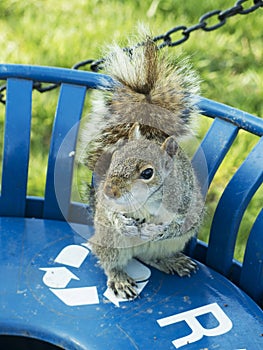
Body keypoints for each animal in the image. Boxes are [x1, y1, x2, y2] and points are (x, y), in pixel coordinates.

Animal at [79, 32, 205, 300]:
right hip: (110, 241)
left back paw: (172, 261)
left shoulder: (185, 200)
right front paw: (122, 221)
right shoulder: (109, 204)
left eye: (148, 173)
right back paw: (119, 278)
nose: (110, 191)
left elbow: (178, 223)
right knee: (110, 260)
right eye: (114, 158)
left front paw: (159, 230)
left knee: (152, 257)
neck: (146, 201)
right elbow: (111, 212)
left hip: (169, 245)